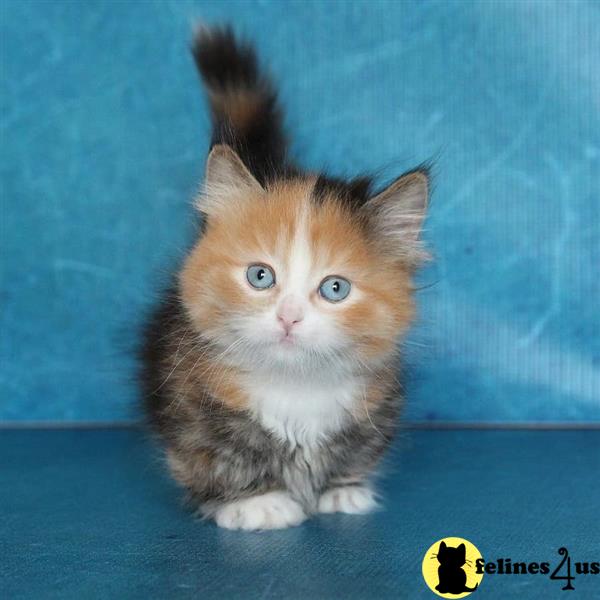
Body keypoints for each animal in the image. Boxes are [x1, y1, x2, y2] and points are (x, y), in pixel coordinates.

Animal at [141, 24, 428, 528]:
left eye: (335, 288)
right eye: (260, 276)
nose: (288, 318)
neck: (295, 386)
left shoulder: (374, 407)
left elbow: (354, 454)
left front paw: (342, 491)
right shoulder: (190, 409)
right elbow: (221, 460)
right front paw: (257, 503)